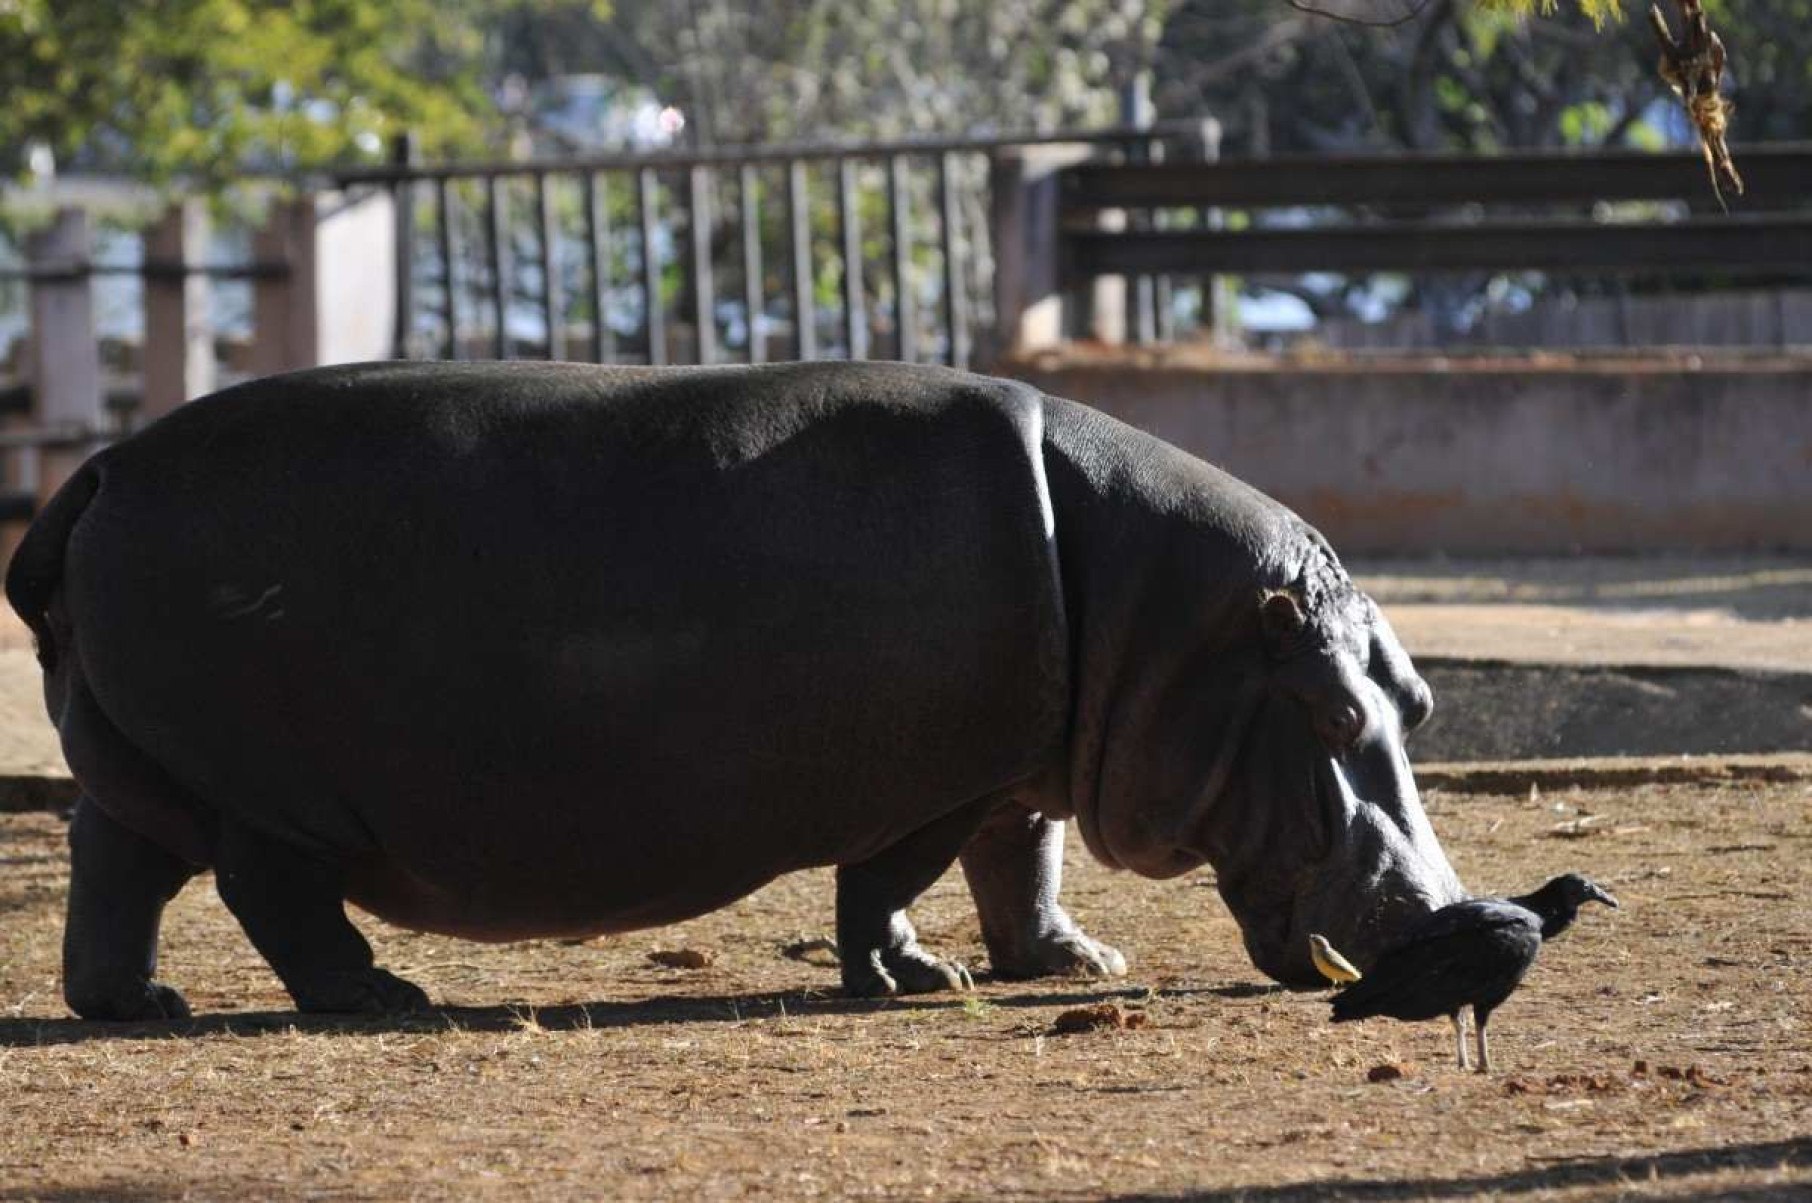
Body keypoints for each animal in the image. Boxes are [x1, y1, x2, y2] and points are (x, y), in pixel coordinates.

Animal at [0, 362, 1464, 1021]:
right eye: (1336, 716)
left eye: (1419, 703)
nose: (1452, 916)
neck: (1161, 613)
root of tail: (102, 468)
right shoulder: (933, 785)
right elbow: (886, 883)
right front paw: (917, 976)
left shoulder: (1019, 761)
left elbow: (1024, 860)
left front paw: (1070, 962)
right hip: (276, 795)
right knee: (275, 895)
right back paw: (387, 996)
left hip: (139, 764)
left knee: (115, 867)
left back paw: (136, 1004)